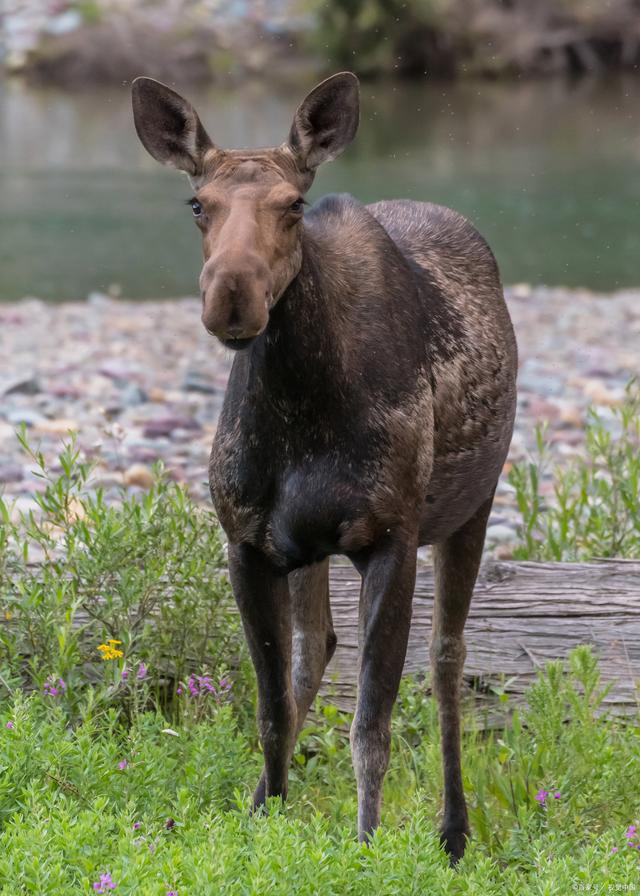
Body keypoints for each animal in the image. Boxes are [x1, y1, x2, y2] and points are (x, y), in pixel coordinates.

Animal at [132, 72, 516, 860]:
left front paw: (366, 845)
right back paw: (262, 803)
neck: (302, 412)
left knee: (448, 657)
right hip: (307, 548)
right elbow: (271, 708)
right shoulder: (248, 542)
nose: (232, 294)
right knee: (318, 648)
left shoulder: (391, 538)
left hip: (474, 504)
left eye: (293, 204)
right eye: (197, 203)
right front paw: (263, 828)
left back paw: (454, 830)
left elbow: (371, 724)